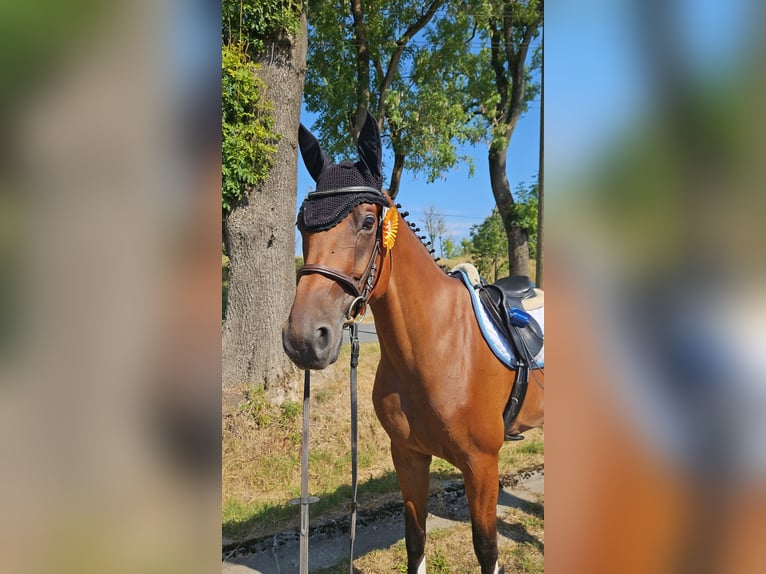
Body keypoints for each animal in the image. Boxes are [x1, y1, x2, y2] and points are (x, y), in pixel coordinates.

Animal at [284, 111, 544, 572]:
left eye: (369, 222)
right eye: (302, 224)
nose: (304, 337)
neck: (436, 348)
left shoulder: (482, 465)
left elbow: (487, 548)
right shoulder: (407, 457)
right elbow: (415, 539)